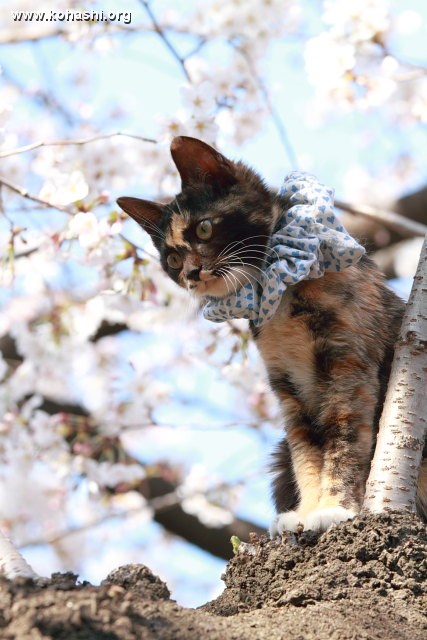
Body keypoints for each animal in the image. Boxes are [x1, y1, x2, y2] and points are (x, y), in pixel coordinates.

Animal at [118, 138, 427, 532]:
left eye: (203, 229)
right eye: (171, 259)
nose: (190, 273)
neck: (277, 300)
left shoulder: (348, 368)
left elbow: (344, 440)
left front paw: (334, 509)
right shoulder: (289, 388)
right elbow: (305, 451)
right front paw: (305, 513)